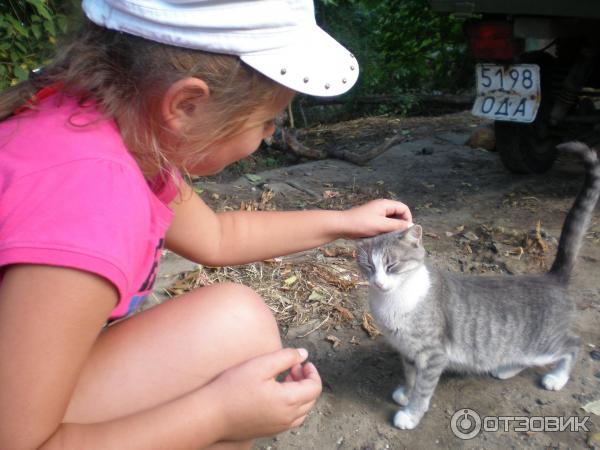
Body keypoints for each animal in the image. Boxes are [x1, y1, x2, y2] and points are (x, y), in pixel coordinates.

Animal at [356, 142, 600, 428]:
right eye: (369, 267)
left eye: (391, 266)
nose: (378, 282)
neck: (394, 301)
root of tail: (552, 277)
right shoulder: (408, 351)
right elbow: (410, 376)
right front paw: (406, 392)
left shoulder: (433, 354)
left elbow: (423, 389)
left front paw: (411, 413)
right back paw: (507, 367)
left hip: (544, 345)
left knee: (573, 345)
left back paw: (557, 377)